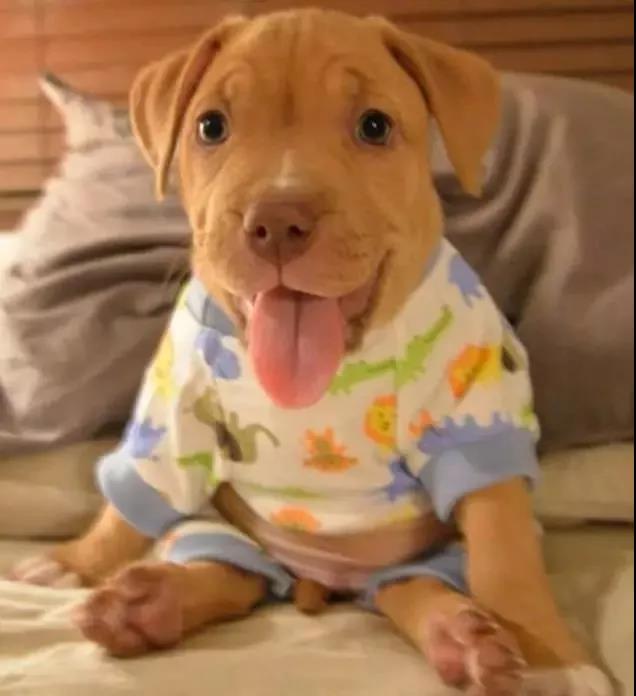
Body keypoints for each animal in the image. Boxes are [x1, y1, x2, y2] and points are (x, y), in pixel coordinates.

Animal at [9, 10, 613, 696]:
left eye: (374, 126)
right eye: (210, 126)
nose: (276, 220)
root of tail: (324, 581)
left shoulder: (474, 421)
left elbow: (504, 555)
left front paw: (555, 662)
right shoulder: (175, 408)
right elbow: (132, 500)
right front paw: (73, 564)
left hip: (434, 552)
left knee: (415, 586)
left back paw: (465, 639)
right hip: (212, 523)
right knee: (234, 573)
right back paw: (142, 607)